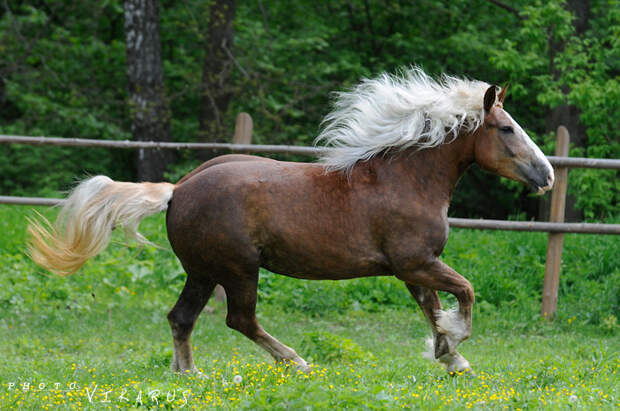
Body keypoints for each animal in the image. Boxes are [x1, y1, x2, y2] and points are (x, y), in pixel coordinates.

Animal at [27, 69, 552, 374]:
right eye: (506, 128)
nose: (545, 175)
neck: (404, 179)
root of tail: (177, 190)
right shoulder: (416, 262)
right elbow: (464, 293)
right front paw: (455, 348)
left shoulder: (413, 268)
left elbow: (433, 309)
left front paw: (451, 357)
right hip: (238, 270)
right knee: (240, 319)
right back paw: (297, 361)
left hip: (203, 272)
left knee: (181, 318)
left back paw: (189, 375)